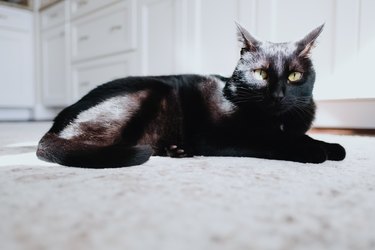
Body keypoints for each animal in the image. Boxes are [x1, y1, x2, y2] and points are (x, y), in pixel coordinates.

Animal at [37, 23, 346, 168]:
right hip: (150, 92)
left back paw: (176, 150)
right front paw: (313, 151)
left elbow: (300, 135)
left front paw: (332, 147)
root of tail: (57, 122)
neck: (278, 120)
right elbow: (273, 140)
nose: (278, 94)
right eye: (261, 74)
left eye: (294, 76)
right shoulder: (218, 137)